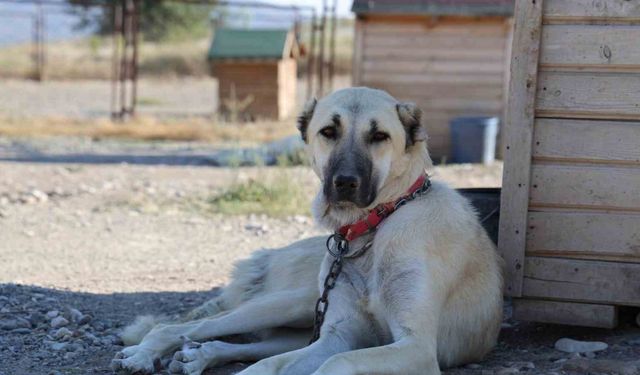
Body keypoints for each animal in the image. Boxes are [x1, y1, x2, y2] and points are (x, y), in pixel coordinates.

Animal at [111, 87, 504, 375]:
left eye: (379, 136)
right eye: (329, 131)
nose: (345, 182)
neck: (374, 228)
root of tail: (269, 253)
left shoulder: (416, 348)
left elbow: (335, 362)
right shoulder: (338, 334)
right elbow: (270, 367)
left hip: (299, 321)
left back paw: (197, 356)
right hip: (290, 304)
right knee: (186, 326)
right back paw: (143, 355)